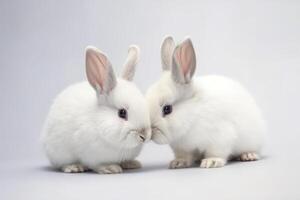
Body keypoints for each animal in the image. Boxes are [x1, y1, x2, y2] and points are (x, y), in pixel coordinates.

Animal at [41, 44, 151, 173]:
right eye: (122, 113)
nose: (144, 135)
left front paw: (131, 163)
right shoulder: (91, 156)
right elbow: (97, 165)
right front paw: (110, 168)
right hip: (59, 153)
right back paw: (74, 167)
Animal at [146, 36, 266, 169]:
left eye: (167, 109)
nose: (150, 132)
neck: (193, 115)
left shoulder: (220, 137)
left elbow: (216, 152)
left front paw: (211, 162)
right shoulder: (181, 147)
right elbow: (184, 156)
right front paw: (178, 163)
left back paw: (248, 155)